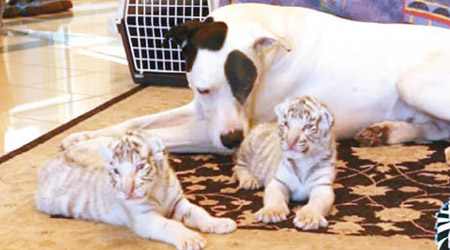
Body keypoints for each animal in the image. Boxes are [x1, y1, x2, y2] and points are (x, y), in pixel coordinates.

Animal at [60, 3, 450, 163]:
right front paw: (83, 135)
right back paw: (387, 131)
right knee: (437, 130)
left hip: (412, 82)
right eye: (203, 89)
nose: (233, 140)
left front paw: (87, 147)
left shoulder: (225, 130)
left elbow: (155, 135)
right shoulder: (199, 110)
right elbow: (136, 122)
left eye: (244, 87)